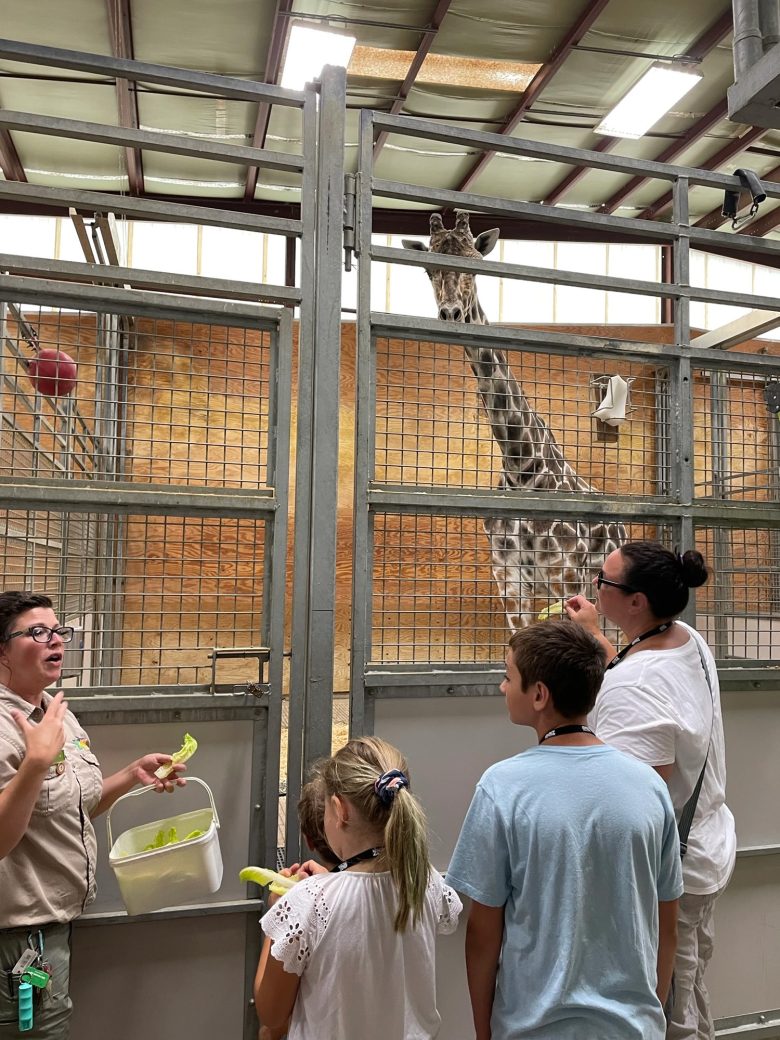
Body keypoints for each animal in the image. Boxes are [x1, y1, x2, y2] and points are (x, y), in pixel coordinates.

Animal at [405, 211, 628, 628]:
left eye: (475, 264)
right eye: (427, 269)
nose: (451, 314)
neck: (520, 464)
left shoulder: (563, 576)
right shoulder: (509, 581)